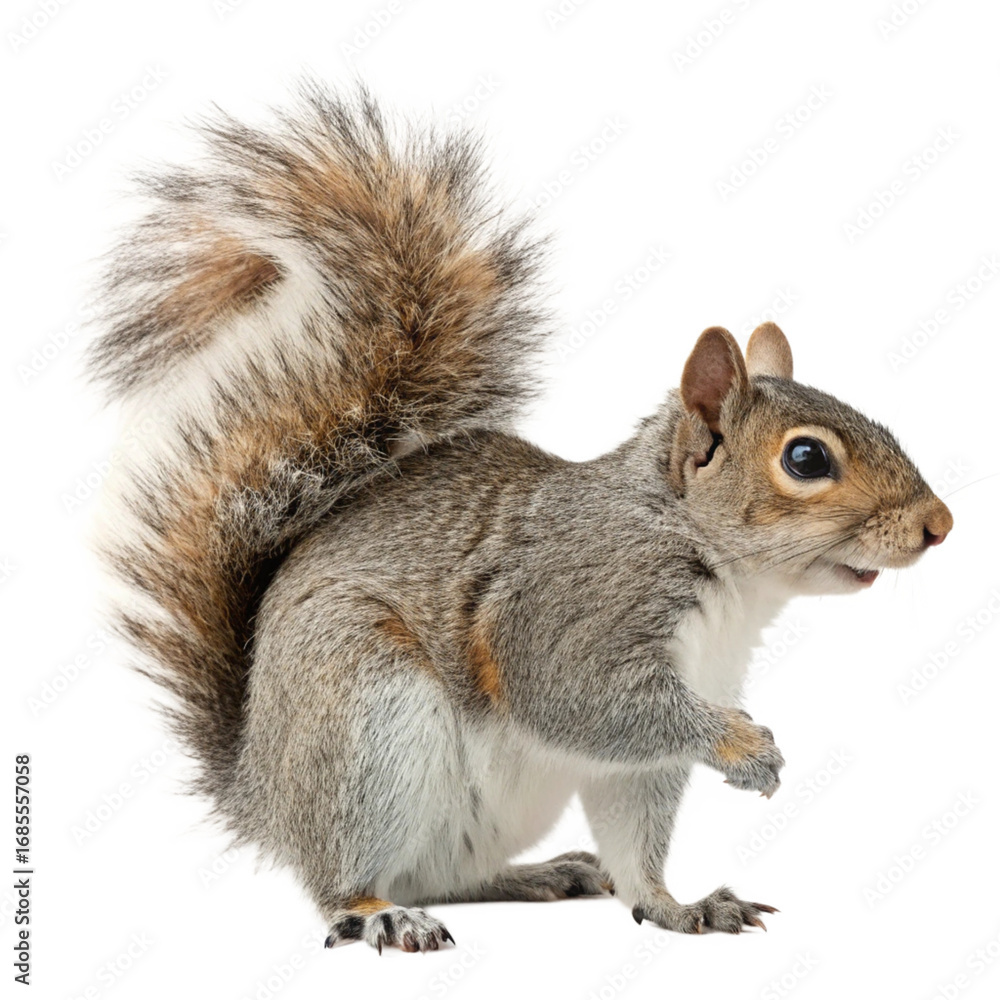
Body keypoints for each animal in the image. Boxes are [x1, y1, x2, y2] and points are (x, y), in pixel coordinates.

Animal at [87, 84, 953, 953]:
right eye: (806, 459)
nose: (940, 525)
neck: (714, 566)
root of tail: (260, 791)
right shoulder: (574, 607)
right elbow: (577, 696)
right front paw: (742, 746)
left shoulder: (657, 732)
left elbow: (636, 827)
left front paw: (678, 906)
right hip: (364, 714)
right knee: (349, 879)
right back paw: (378, 913)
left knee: (439, 874)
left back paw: (539, 874)